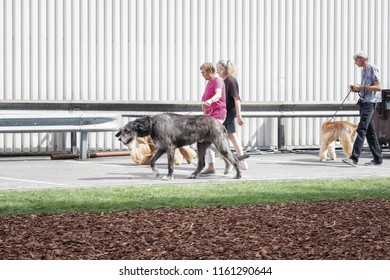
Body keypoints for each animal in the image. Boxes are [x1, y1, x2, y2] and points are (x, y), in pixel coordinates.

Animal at [115, 112, 247, 180]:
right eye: (122, 130)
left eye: (127, 130)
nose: (119, 138)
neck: (152, 124)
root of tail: (220, 124)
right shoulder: (162, 148)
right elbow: (152, 161)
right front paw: (156, 172)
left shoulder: (170, 148)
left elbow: (170, 165)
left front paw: (169, 176)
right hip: (202, 145)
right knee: (201, 163)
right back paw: (193, 174)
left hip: (220, 145)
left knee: (234, 160)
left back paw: (238, 174)